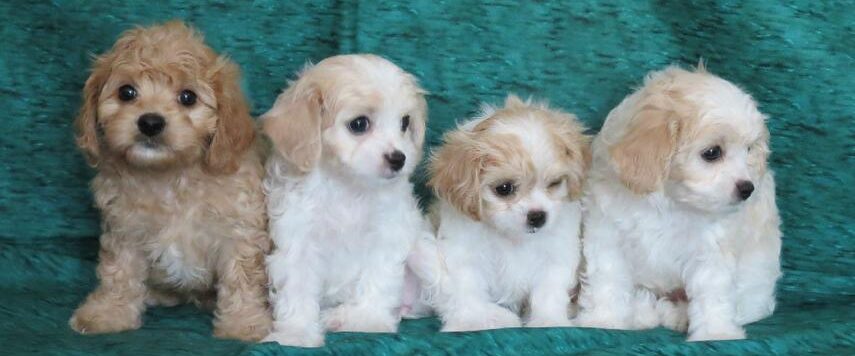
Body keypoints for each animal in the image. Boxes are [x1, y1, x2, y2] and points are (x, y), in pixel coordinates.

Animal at [69, 20, 270, 340]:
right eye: (126, 92)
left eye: (188, 97)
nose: (150, 122)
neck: (170, 175)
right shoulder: (125, 229)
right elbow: (119, 273)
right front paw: (108, 312)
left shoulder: (239, 230)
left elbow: (241, 277)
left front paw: (244, 323)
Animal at [260, 54, 432, 346]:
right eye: (359, 124)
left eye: (404, 123)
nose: (399, 158)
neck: (347, 187)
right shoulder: (298, 240)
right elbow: (297, 289)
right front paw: (297, 332)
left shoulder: (387, 235)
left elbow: (378, 279)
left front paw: (366, 319)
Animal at [412, 96, 592, 332]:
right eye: (504, 188)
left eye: (554, 183)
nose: (538, 216)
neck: (512, 237)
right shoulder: (464, 257)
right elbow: (467, 290)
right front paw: (472, 320)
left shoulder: (556, 255)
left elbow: (549, 291)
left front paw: (549, 320)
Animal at [576, 65, 784, 340]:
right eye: (712, 153)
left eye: (749, 149)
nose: (747, 188)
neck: (670, 203)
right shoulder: (608, 235)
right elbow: (607, 280)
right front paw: (604, 319)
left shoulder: (711, 250)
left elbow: (713, 293)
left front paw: (716, 332)